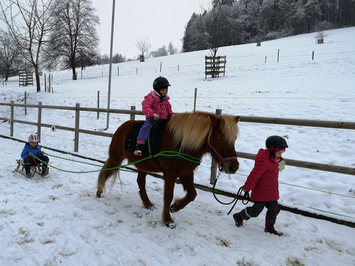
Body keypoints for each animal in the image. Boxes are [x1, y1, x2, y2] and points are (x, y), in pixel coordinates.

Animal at [97, 111, 241, 228]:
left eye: (234, 138)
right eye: (221, 137)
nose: (233, 166)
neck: (182, 144)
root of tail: (122, 127)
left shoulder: (186, 173)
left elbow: (192, 194)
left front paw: (175, 207)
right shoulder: (170, 174)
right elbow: (168, 195)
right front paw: (167, 220)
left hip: (143, 165)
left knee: (140, 182)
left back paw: (147, 203)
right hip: (116, 158)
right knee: (106, 172)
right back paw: (99, 191)